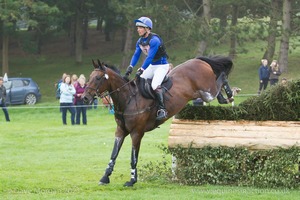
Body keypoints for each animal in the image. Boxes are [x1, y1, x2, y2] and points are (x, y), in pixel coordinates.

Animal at [82, 55, 234, 187]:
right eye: (89, 77)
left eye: (98, 78)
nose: (84, 98)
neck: (129, 98)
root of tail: (199, 60)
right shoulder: (120, 131)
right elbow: (113, 154)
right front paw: (105, 177)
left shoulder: (136, 133)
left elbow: (133, 158)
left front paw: (132, 180)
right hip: (203, 94)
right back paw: (224, 97)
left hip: (208, 92)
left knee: (221, 78)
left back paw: (230, 93)